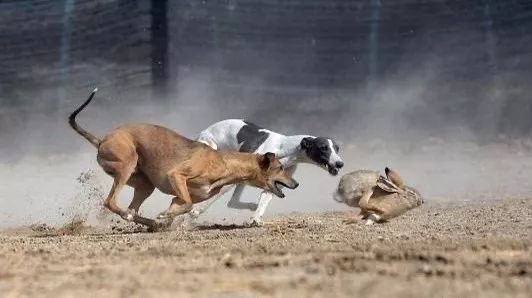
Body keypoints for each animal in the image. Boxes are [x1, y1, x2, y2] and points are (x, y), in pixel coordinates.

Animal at [69, 89, 300, 232]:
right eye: (280, 167)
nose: (296, 183)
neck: (224, 163)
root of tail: (102, 140)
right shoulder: (176, 175)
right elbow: (188, 204)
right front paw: (166, 215)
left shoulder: (180, 196)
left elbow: (184, 205)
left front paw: (166, 217)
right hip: (126, 166)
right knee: (112, 203)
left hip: (145, 184)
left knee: (130, 212)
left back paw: (153, 224)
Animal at [186, 118, 344, 226]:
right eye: (323, 147)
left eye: (337, 148)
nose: (340, 163)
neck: (285, 149)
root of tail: (205, 131)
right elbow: (210, 197)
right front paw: (193, 213)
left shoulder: (273, 183)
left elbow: (263, 201)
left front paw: (255, 218)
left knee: (232, 201)